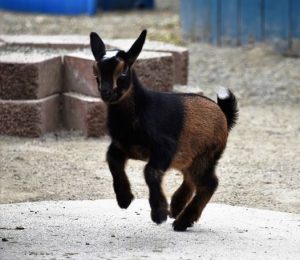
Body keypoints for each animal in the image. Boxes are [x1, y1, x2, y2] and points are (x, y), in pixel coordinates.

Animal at [90, 29, 238, 231]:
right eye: (96, 72)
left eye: (123, 71)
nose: (106, 92)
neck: (140, 108)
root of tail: (223, 114)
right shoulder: (122, 145)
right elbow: (112, 160)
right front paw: (124, 199)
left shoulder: (164, 148)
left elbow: (150, 172)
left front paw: (159, 213)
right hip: (189, 156)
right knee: (192, 178)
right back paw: (176, 207)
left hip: (206, 154)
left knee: (209, 183)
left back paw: (182, 221)